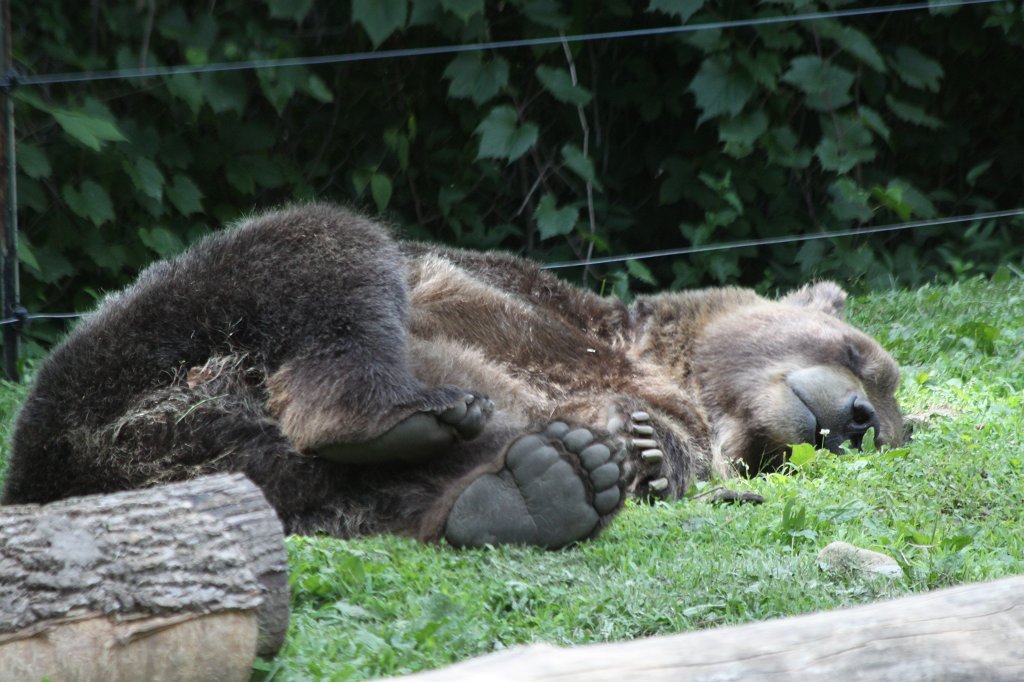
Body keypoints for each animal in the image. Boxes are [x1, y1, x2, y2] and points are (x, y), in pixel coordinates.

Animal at [1, 204, 904, 549]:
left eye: (897, 428)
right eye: (861, 356)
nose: (861, 422)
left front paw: (644, 455)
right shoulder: (504, 292)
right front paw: (639, 441)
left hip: (248, 460)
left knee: (371, 493)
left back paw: (539, 489)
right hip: (148, 337)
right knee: (328, 244)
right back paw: (396, 413)